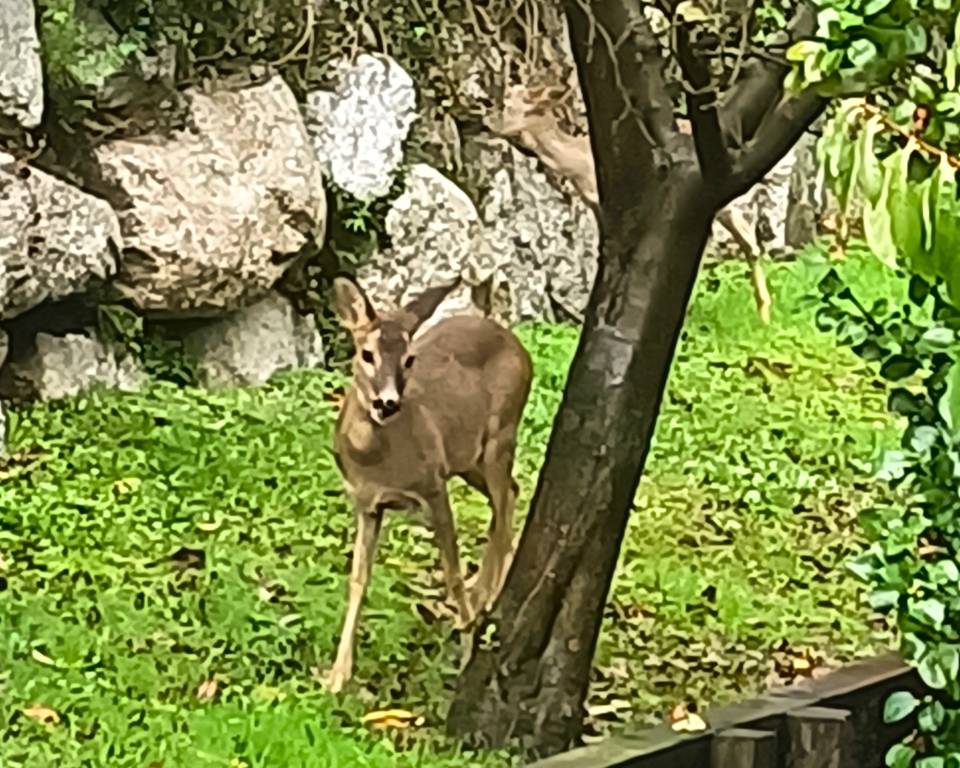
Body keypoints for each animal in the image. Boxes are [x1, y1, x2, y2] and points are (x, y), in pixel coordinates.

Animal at [326, 272, 536, 692]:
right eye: (366, 354)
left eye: (409, 359)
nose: (387, 403)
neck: (377, 461)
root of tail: (513, 340)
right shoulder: (367, 504)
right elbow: (358, 579)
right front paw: (338, 676)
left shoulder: (433, 488)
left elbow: (452, 572)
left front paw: (468, 647)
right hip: (467, 458)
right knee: (510, 495)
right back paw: (484, 593)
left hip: (500, 435)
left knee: (504, 508)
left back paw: (485, 601)